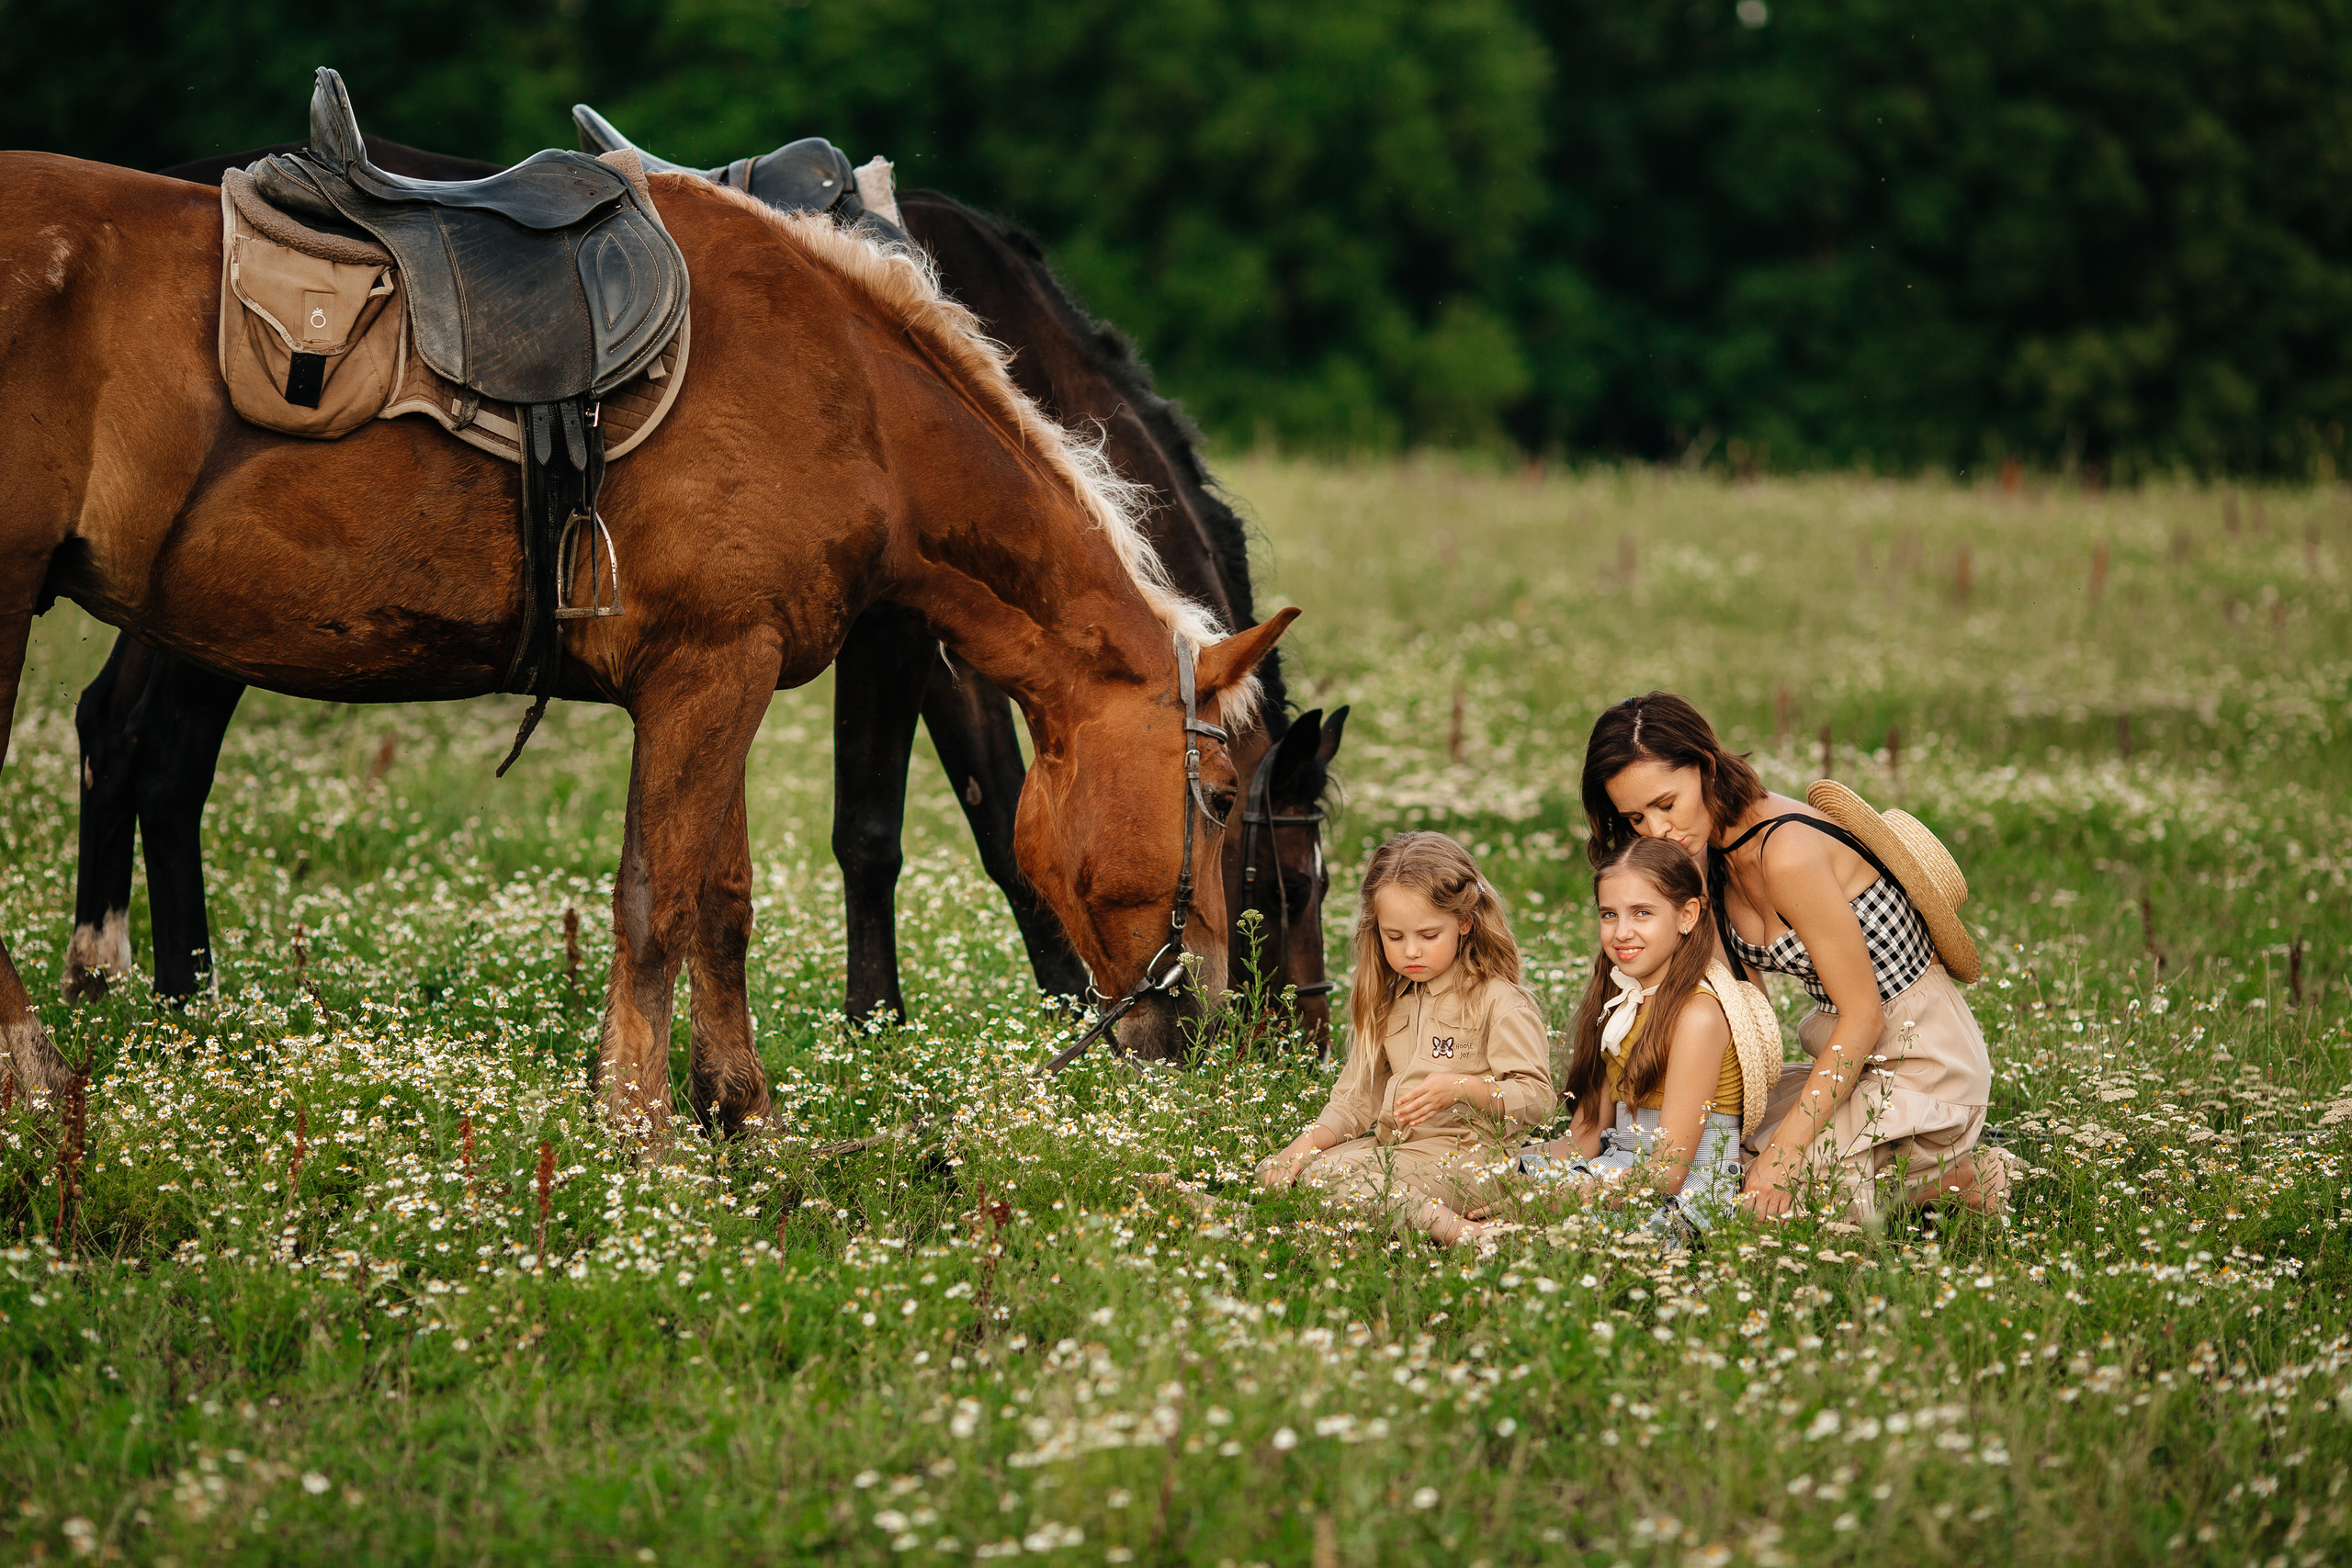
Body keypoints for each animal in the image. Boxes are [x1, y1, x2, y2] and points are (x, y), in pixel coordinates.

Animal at [0, 150, 1295, 1132]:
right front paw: (640, 1126)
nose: (1202, 1026)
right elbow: (658, 898)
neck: (853, 396)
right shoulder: (714, 673)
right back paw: (49, 1066)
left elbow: (722, 899)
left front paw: (744, 1116)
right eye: (1224, 798)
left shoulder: (732, 670)